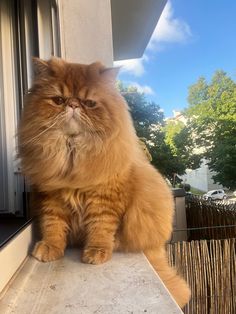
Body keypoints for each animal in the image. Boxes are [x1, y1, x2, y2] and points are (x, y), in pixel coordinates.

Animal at [17, 57, 191, 308]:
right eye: (58, 100)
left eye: (89, 103)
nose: (73, 105)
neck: (72, 155)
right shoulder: (51, 198)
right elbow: (53, 226)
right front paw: (51, 248)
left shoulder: (104, 200)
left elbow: (100, 228)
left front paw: (96, 252)